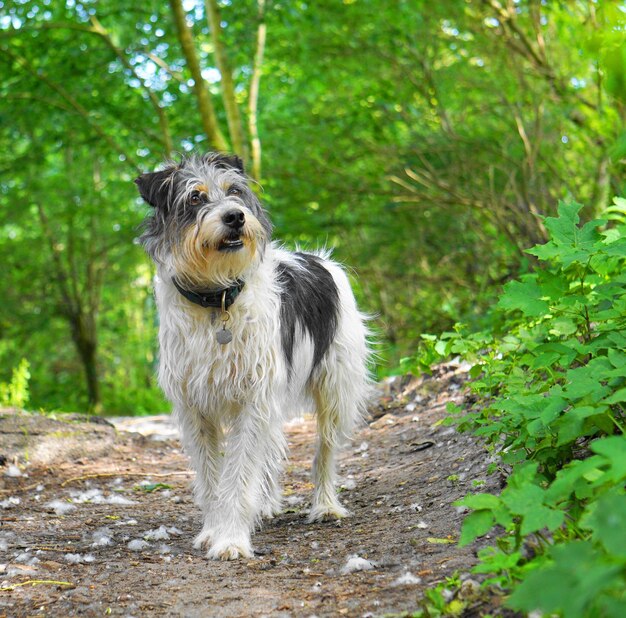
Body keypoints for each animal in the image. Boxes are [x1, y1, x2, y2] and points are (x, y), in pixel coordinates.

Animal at [135, 153, 370, 560]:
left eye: (234, 191)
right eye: (195, 197)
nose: (235, 217)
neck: (216, 300)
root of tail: (319, 259)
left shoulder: (253, 399)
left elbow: (240, 473)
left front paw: (231, 538)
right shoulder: (195, 408)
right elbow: (212, 478)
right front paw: (214, 531)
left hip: (335, 390)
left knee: (324, 452)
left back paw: (326, 505)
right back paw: (268, 503)